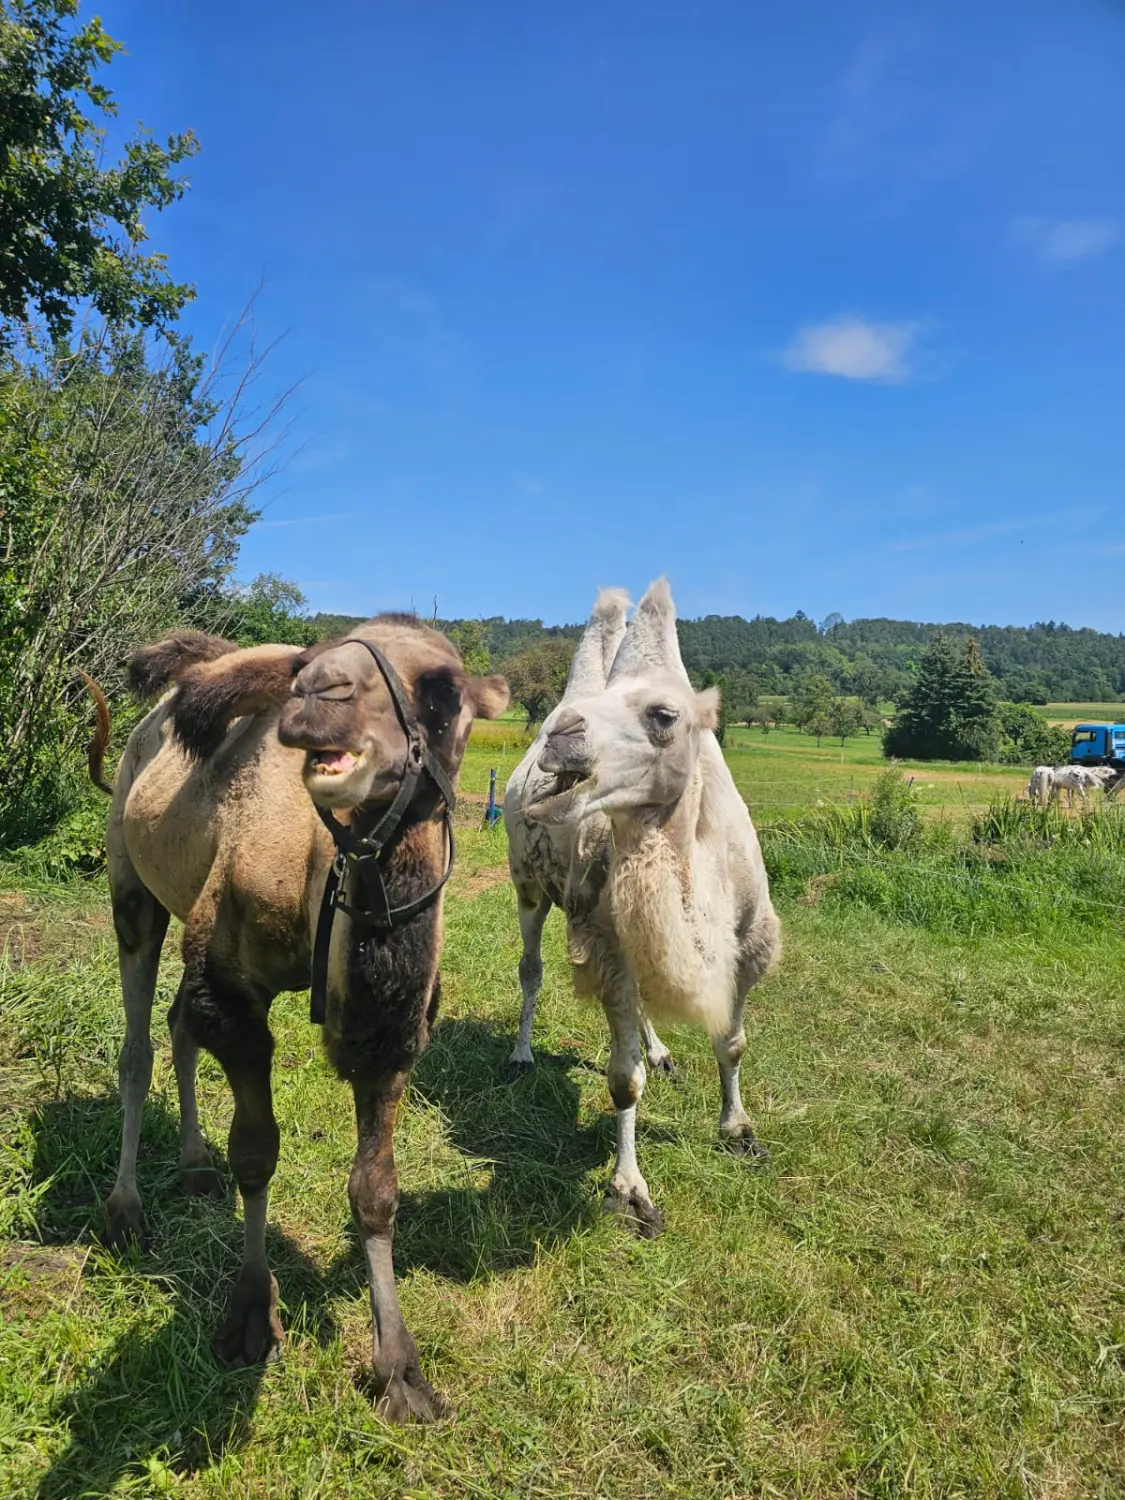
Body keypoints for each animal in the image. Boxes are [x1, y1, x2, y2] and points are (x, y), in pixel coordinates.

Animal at [87, 618, 507, 1416]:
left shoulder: (393, 1031)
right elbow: (256, 1152)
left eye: (442, 690)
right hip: (132, 884)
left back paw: (193, 1165)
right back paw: (124, 1209)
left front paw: (399, 1370)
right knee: (136, 1044)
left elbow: (375, 1190)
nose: (317, 695)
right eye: (307, 664)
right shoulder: (235, 991)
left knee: (176, 1025)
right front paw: (251, 1315)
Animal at [507, 573, 780, 1230]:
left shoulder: (749, 946)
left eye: (663, 714)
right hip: (527, 886)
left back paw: (661, 1051)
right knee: (531, 968)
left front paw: (738, 1130)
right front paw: (629, 1190)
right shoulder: (606, 947)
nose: (560, 735)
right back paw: (522, 1054)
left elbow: (732, 1041)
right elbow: (622, 1081)